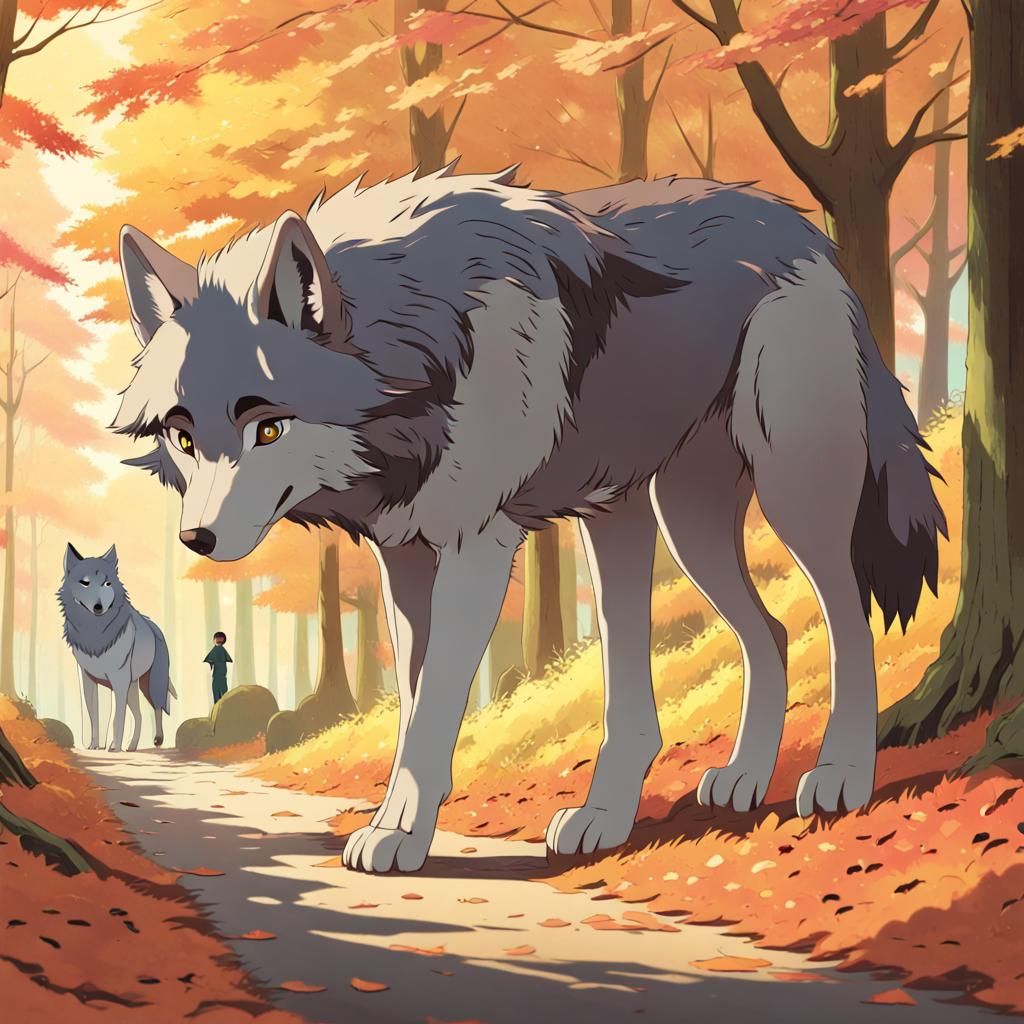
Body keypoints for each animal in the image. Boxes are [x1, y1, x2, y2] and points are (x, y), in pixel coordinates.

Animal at [59, 544, 175, 751]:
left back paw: (156, 740)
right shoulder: (88, 679)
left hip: (150, 684)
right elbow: (93, 716)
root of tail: (155, 628)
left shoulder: (118, 681)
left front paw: (114, 747)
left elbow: (116, 718)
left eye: (107, 584)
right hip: (133, 687)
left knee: (157, 707)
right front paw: (94, 745)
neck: (95, 634)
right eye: (85, 583)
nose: (98, 607)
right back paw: (132, 746)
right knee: (139, 715)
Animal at [112, 167, 945, 873]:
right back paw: (699, 790)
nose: (197, 539)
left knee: (847, 618)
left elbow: (437, 703)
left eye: (269, 429)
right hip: (669, 522)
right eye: (185, 439)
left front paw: (399, 837)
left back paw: (840, 774)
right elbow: (416, 705)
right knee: (761, 635)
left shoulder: (478, 547)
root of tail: (804, 229)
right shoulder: (405, 560)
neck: (425, 348)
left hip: (792, 497)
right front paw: (401, 822)